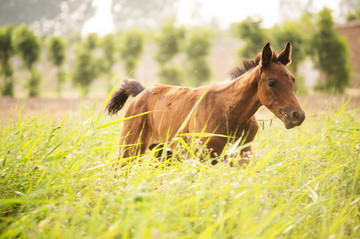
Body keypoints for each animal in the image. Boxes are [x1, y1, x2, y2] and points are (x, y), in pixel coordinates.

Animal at [106, 42, 304, 163]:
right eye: (272, 82)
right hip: (129, 148)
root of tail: (140, 93)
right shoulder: (200, 156)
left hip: (163, 154)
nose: (298, 115)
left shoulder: (242, 156)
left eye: (293, 80)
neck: (230, 111)